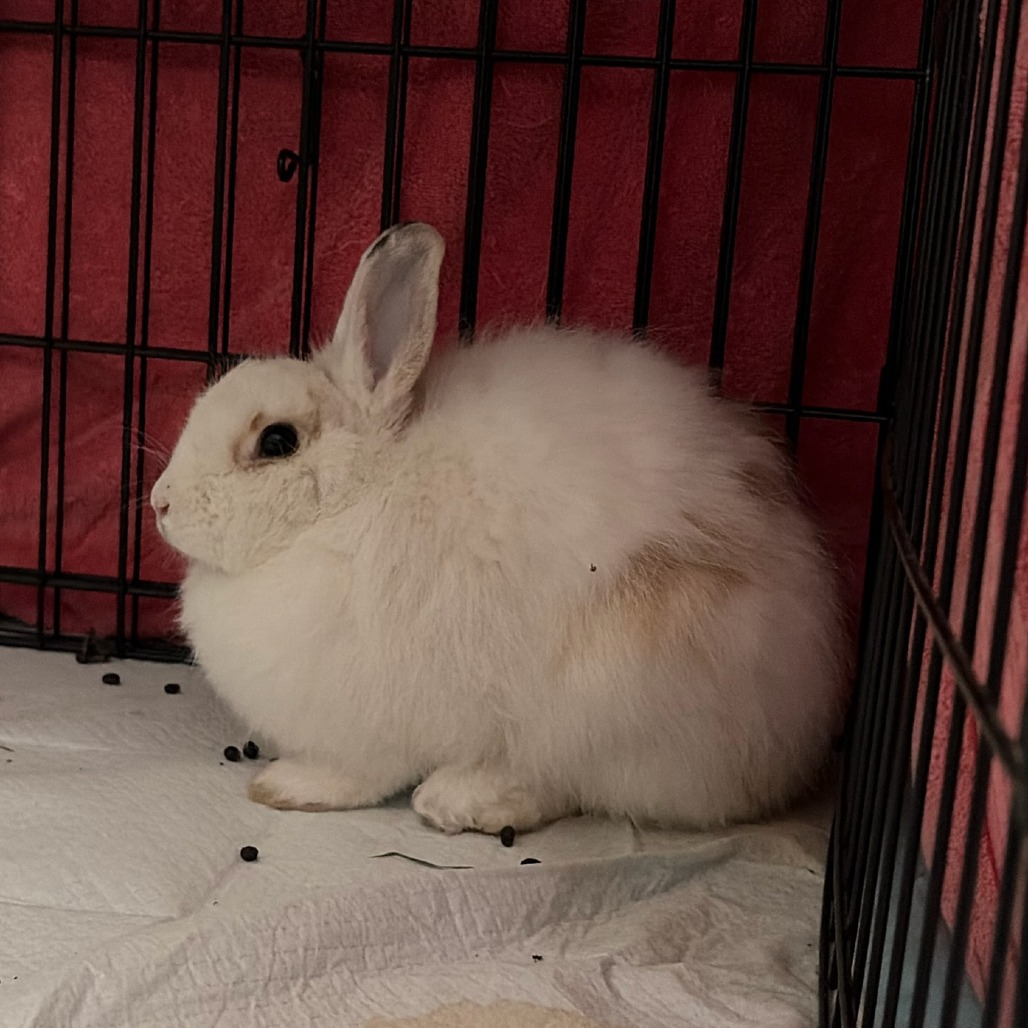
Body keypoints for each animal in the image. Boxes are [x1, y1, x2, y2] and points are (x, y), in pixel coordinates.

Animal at [151, 222, 846, 835]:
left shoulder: (371, 716)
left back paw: (460, 800)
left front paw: (288, 786)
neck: (354, 501)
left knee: (565, 782)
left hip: (603, 701)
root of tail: (798, 735)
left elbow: (358, 772)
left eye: (276, 441)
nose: (160, 503)